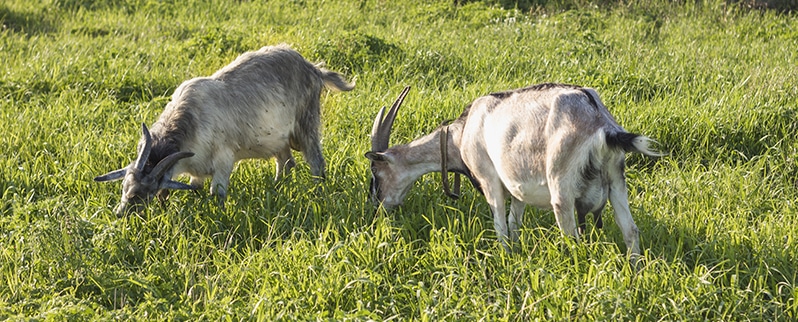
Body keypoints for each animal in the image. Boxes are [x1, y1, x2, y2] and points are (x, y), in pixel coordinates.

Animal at [95, 42, 354, 214]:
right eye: (125, 186)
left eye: (143, 193)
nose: (120, 214)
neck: (191, 118)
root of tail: (313, 68)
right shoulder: (196, 169)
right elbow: (194, 189)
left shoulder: (223, 159)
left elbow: (216, 194)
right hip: (278, 139)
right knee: (286, 162)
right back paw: (277, 187)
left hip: (306, 124)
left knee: (316, 162)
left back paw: (317, 192)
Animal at [368, 84, 664, 258]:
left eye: (376, 173)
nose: (378, 210)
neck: (460, 133)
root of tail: (602, 124)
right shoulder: (518, 187)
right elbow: (514, 223)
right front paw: (517, 253)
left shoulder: (489, 179)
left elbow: (500, 224)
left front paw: (505, 257)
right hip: (616, 178)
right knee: (630, 231)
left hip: (561, 186)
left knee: (572, 238)